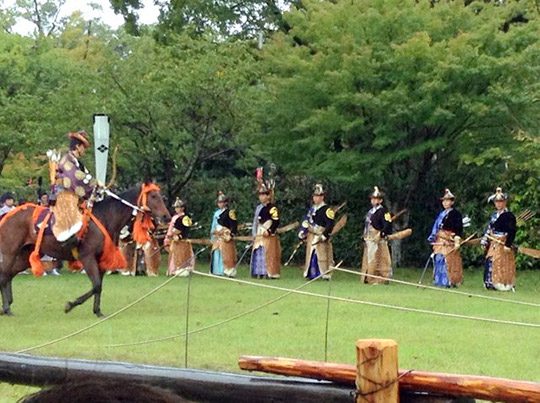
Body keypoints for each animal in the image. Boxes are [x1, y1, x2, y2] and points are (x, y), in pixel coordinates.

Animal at [0, 185, 170, 318]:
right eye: (153, 196)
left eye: (160, 196)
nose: (166, 217)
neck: (105, 217)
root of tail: (9, 214)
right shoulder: (87, 257)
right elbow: (96, 285)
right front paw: (70, 305)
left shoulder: (102, 259)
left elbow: (99, 286)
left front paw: (98, 311)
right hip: (10, 252)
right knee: (4, 275)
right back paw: (7, 307)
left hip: (25, 254)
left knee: (9, 274)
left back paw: (6, 307)